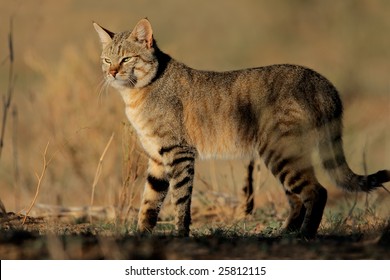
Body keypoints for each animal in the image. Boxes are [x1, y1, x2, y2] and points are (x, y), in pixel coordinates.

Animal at [94, 18, 390, 236]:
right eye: (107, 60)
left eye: (127, 59)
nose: (111, 73)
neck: (135, 95)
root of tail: (323, 82)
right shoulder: (157, 157)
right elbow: (149, 201)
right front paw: (141, 235)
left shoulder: (179, 152)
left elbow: (180, 199)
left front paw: (180, 234)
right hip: (283, 154)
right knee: (297, 198)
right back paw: (285, 234)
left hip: (281, 151)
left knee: (317, 192)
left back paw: (304, 236)